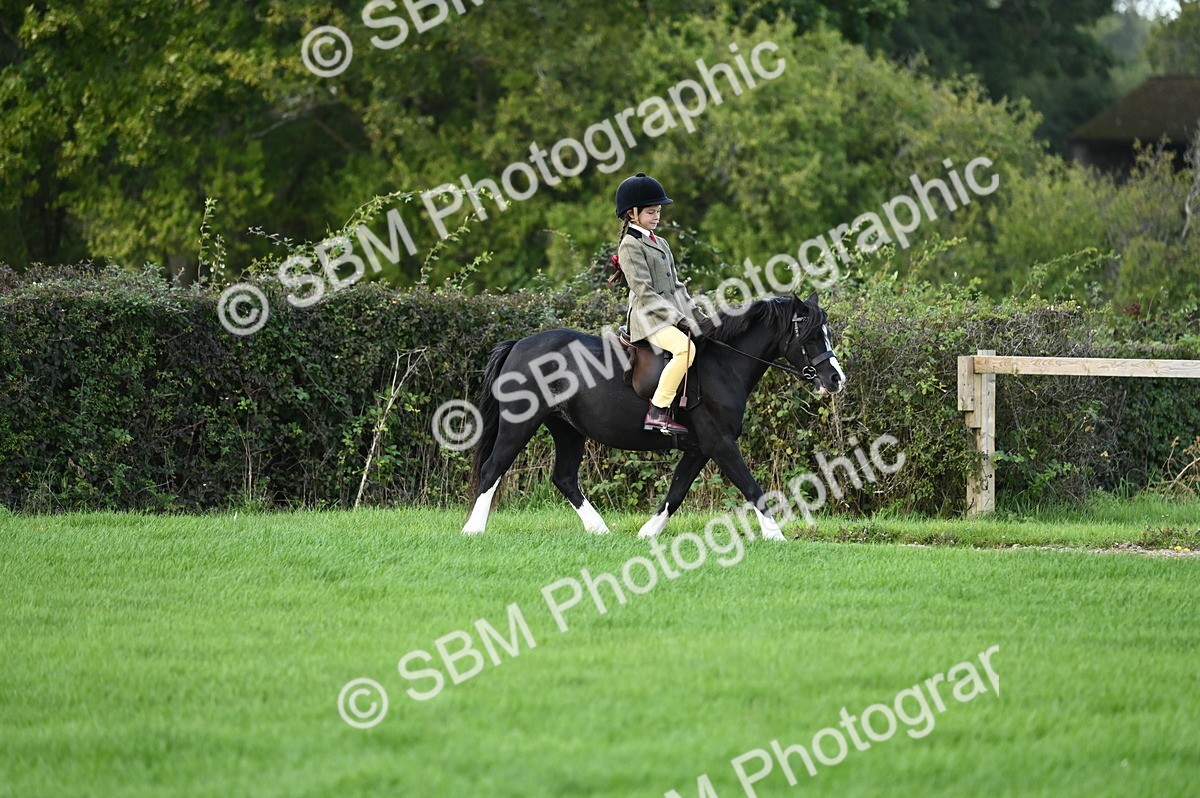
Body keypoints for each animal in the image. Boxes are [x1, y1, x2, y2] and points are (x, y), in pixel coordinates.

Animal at [462, 292, 846, 539]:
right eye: (812, 335)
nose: (836, 379)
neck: (723, 364)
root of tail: (518, 344)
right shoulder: (720, 443)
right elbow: (752, 487)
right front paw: (775, 535)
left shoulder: (700, 448)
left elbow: (676, 492)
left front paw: (647, 532)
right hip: (520, 423)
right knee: (493, 468)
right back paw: (473, 530)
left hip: (567, 428)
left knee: (565, 478)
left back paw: (599, 530)